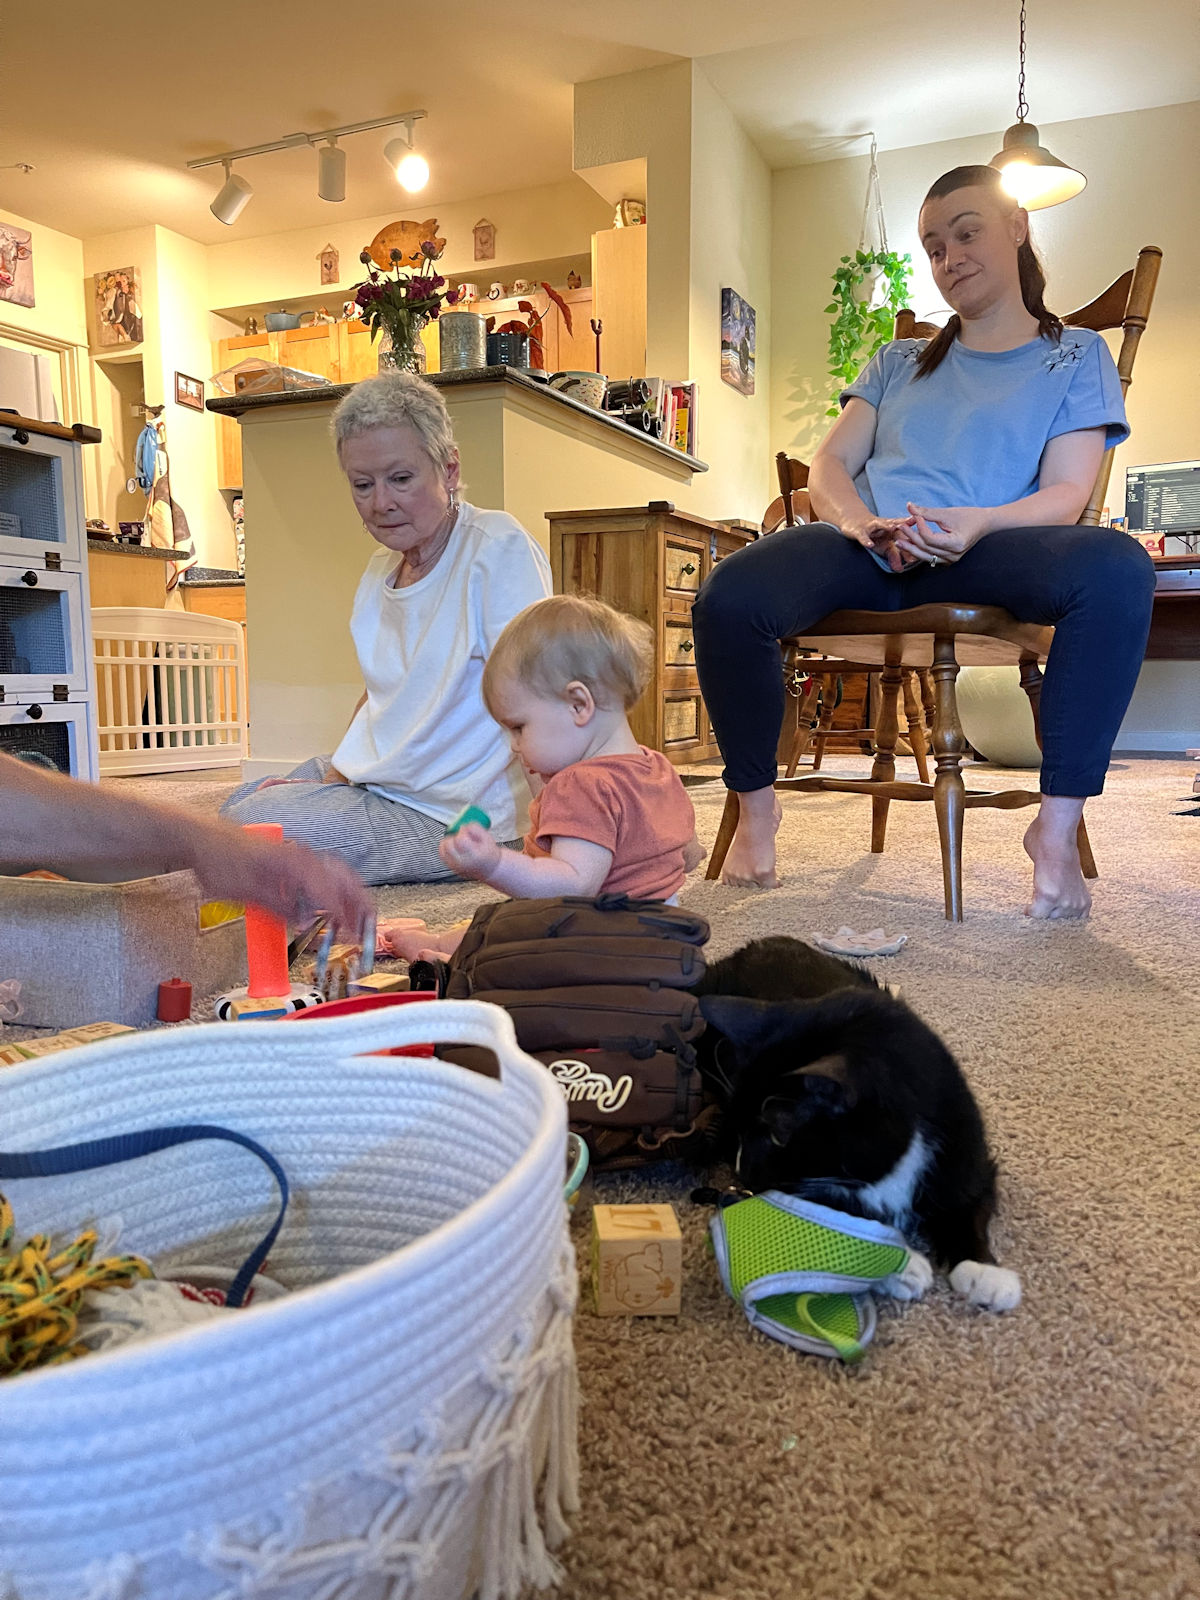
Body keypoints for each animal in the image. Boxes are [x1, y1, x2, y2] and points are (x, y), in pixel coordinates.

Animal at [694, 936, 1020, 1312]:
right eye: (738, 1124)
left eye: (777, 1135)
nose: (741, 1171)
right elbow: (834, 1216)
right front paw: (900, 1266)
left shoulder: (962, 1141)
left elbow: (969, 1200)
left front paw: (984, 1272)